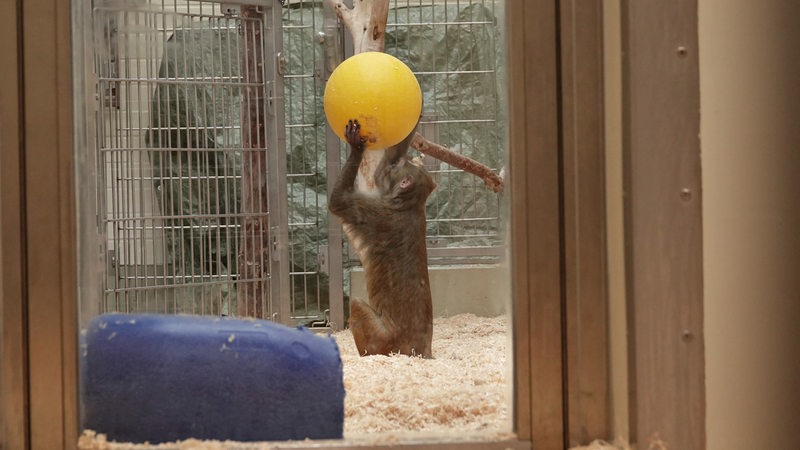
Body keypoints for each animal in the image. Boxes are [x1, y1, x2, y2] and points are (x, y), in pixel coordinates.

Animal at [328, 119, 434, 358]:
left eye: (397, 168)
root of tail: (419, 350)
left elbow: (338, 202)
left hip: (384, 341)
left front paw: (356, 148)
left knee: (357, 303)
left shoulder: (373, 212)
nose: (403, 160)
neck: (409, 204)